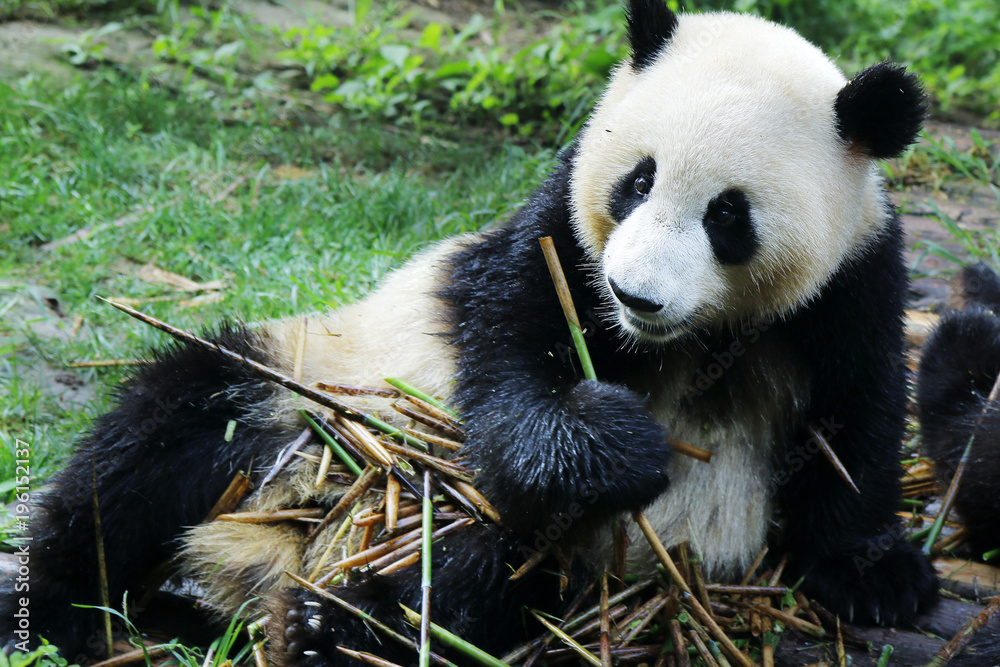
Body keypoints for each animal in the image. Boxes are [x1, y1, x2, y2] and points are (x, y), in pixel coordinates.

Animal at [1, 1, 936, 664]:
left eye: (728, 216)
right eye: (637, 181)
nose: (634, 294)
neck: (688, 341)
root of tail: (261, 547)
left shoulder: (852, 285)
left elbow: (860, 420)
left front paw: (880, 575)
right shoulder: (552, 247)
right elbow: (509, 376)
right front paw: (614, 439)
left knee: (477, 573)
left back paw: (321, 623)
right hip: (315, 383)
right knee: (165, 435)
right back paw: (61, 605)